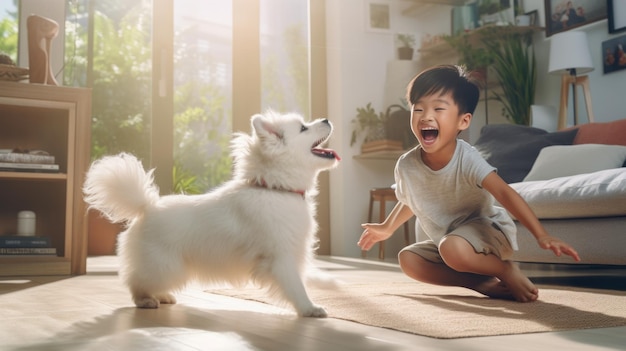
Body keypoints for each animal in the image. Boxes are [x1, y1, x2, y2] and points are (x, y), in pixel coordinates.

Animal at [81, 111, 342, 318]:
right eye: (303, 127)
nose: (327, 119)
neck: (276, 189)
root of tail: (146, 206)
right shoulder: (280, 257)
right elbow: (296, 287)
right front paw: (310, 309)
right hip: (165, 265)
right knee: (136, 282)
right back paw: (146, 300)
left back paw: (163, 296)